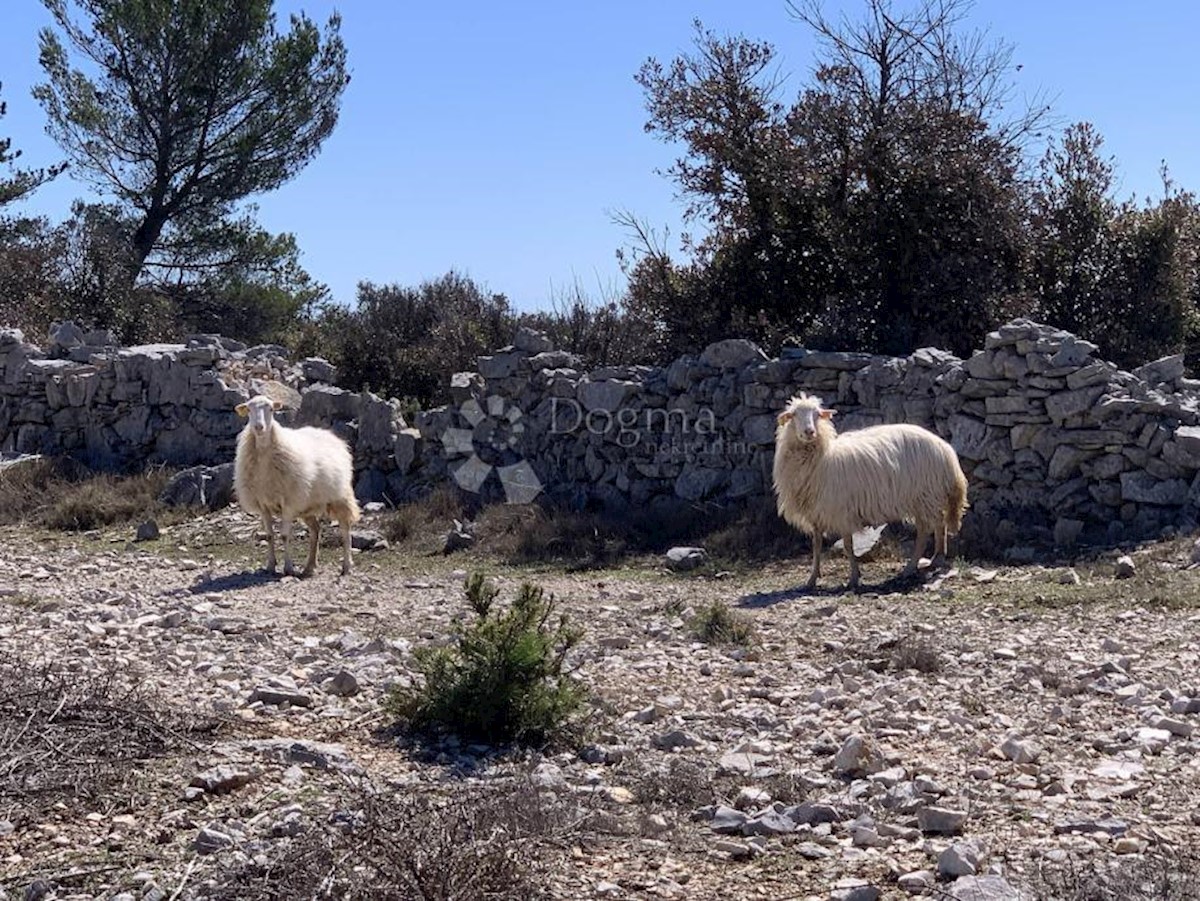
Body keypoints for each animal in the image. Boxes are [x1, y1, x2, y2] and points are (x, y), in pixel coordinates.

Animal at [232, 393, 360, 578]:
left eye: (271, 409)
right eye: (249, 409)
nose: (259, 427)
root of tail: (330, 436)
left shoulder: (288, 502)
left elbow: (285, 535)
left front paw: (288, 568)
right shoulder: (263, 504)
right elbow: (269, 535)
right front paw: (270, 566)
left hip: (339, 497)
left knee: (345, 529)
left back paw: (346, 566)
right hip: (308, 505)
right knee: (316, 530)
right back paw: (309, 567)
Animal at [772, 393, 969, 592]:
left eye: (817, 415)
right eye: (793, 415)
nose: (809, 432)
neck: (823, 458)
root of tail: (945, 449)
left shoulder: (842, 511)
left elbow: (848, 546)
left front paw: (853, 578)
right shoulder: (815, 514)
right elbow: (817, 546)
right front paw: (812, 579)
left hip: (925, 495)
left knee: (930, 528)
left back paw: (921, 564)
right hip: (924, 498)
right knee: (934, 525)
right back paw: (931, 560)